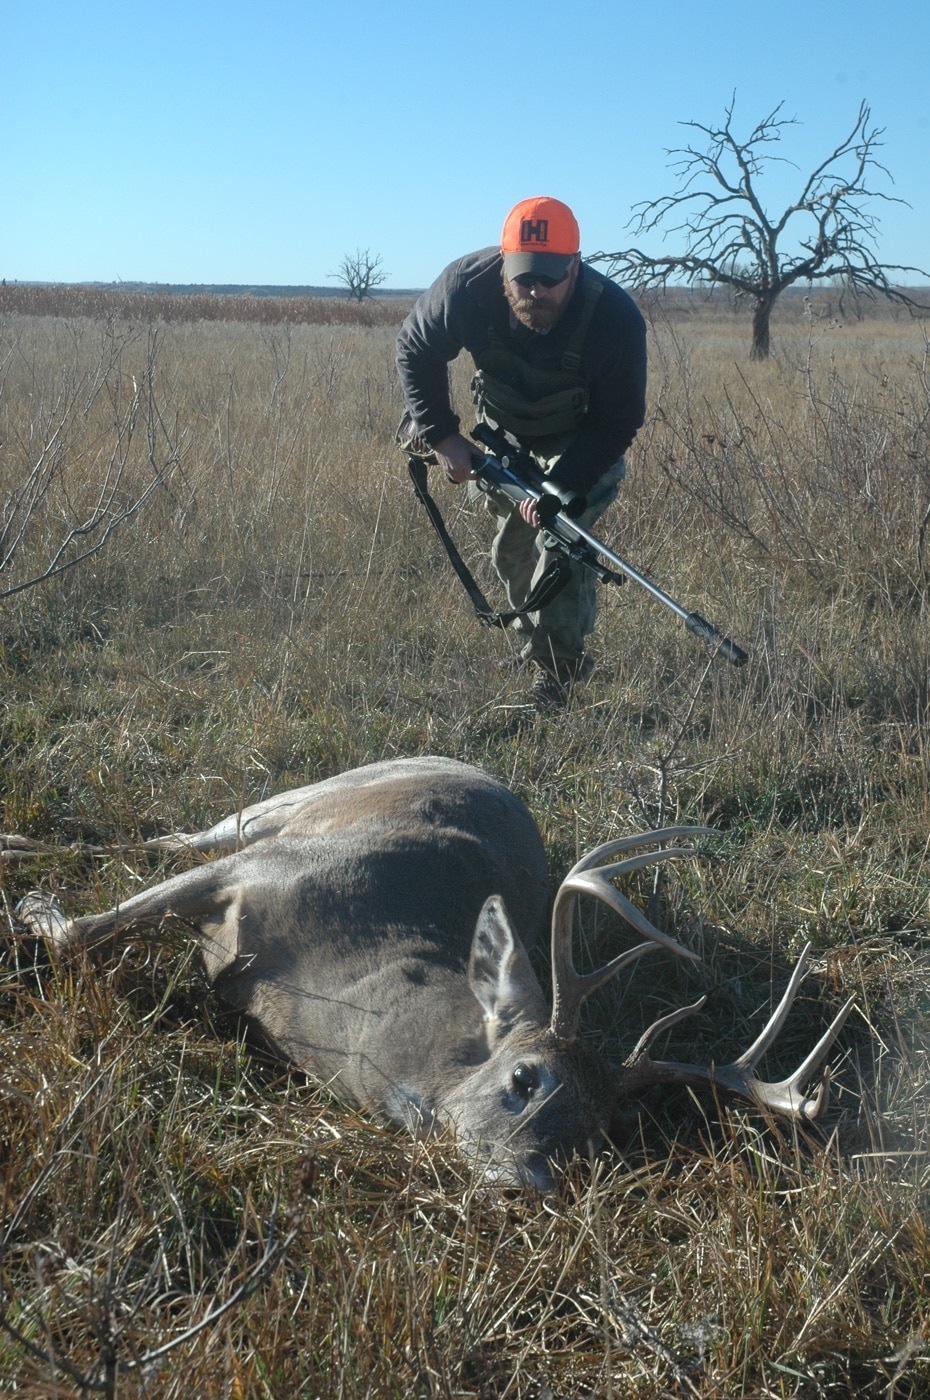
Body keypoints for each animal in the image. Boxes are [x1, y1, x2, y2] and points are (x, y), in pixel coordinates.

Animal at [7, 756, 851, 1192]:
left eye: (598, 1136)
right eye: (525, 1079)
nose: (524, 1185)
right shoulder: (262, 871)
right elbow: (79, 934)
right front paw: (33, 906)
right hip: (279, 810)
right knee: (170, 836)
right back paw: (23, 848)